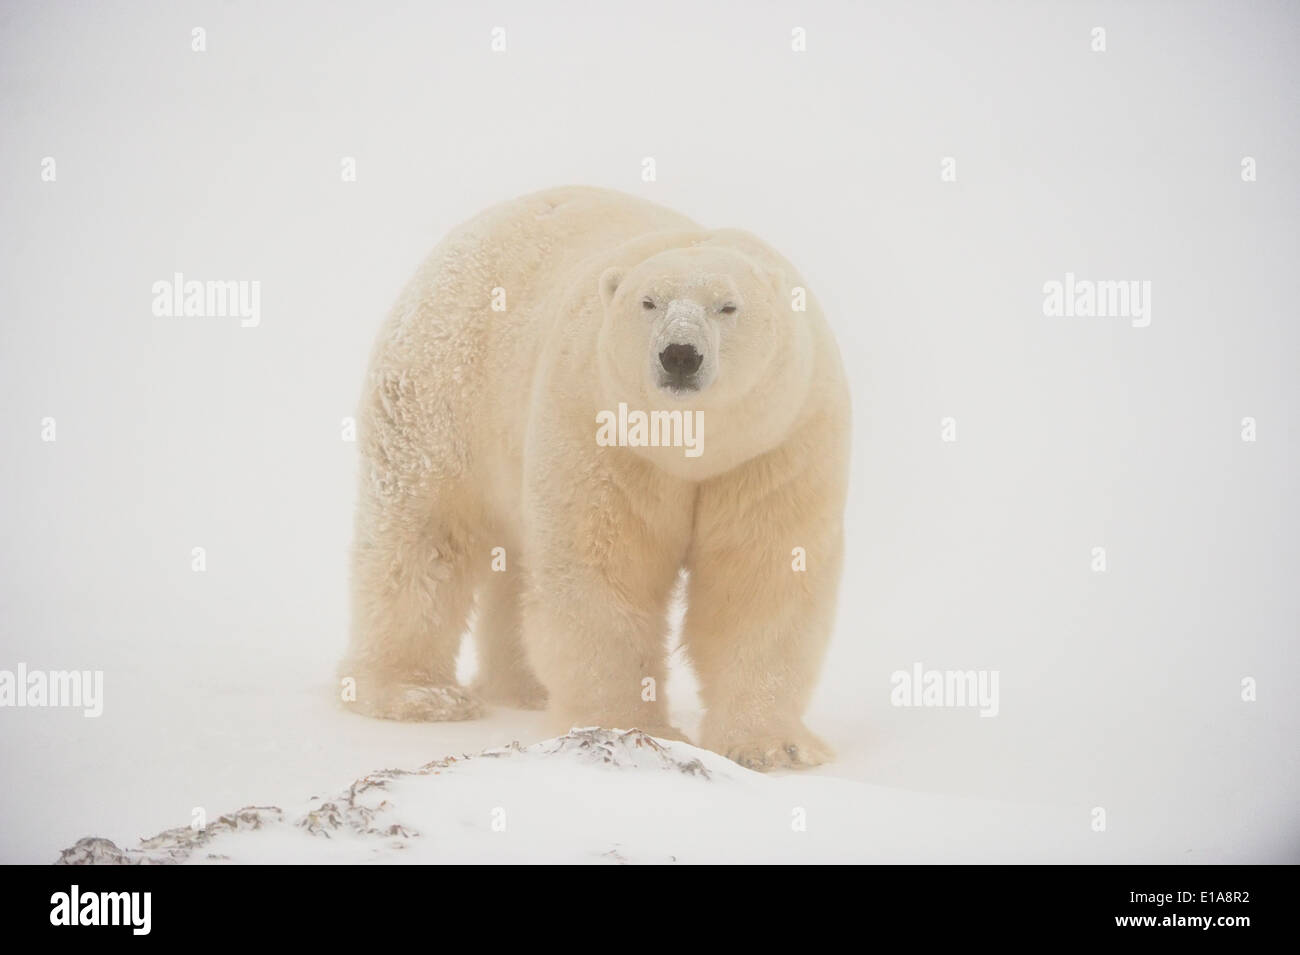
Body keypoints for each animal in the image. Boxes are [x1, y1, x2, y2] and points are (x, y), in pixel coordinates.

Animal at [340, 184, 852, 769]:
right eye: (647, 302)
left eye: (728, 306)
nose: (680, 354)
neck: (690, 445)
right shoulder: (598, 425)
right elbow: (602, 569)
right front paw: (629, 728)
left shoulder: (778, 443)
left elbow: (760, 577)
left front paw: (774, 747)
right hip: (442, 392)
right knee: (423, 538)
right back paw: (416, 694)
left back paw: (523, 687)